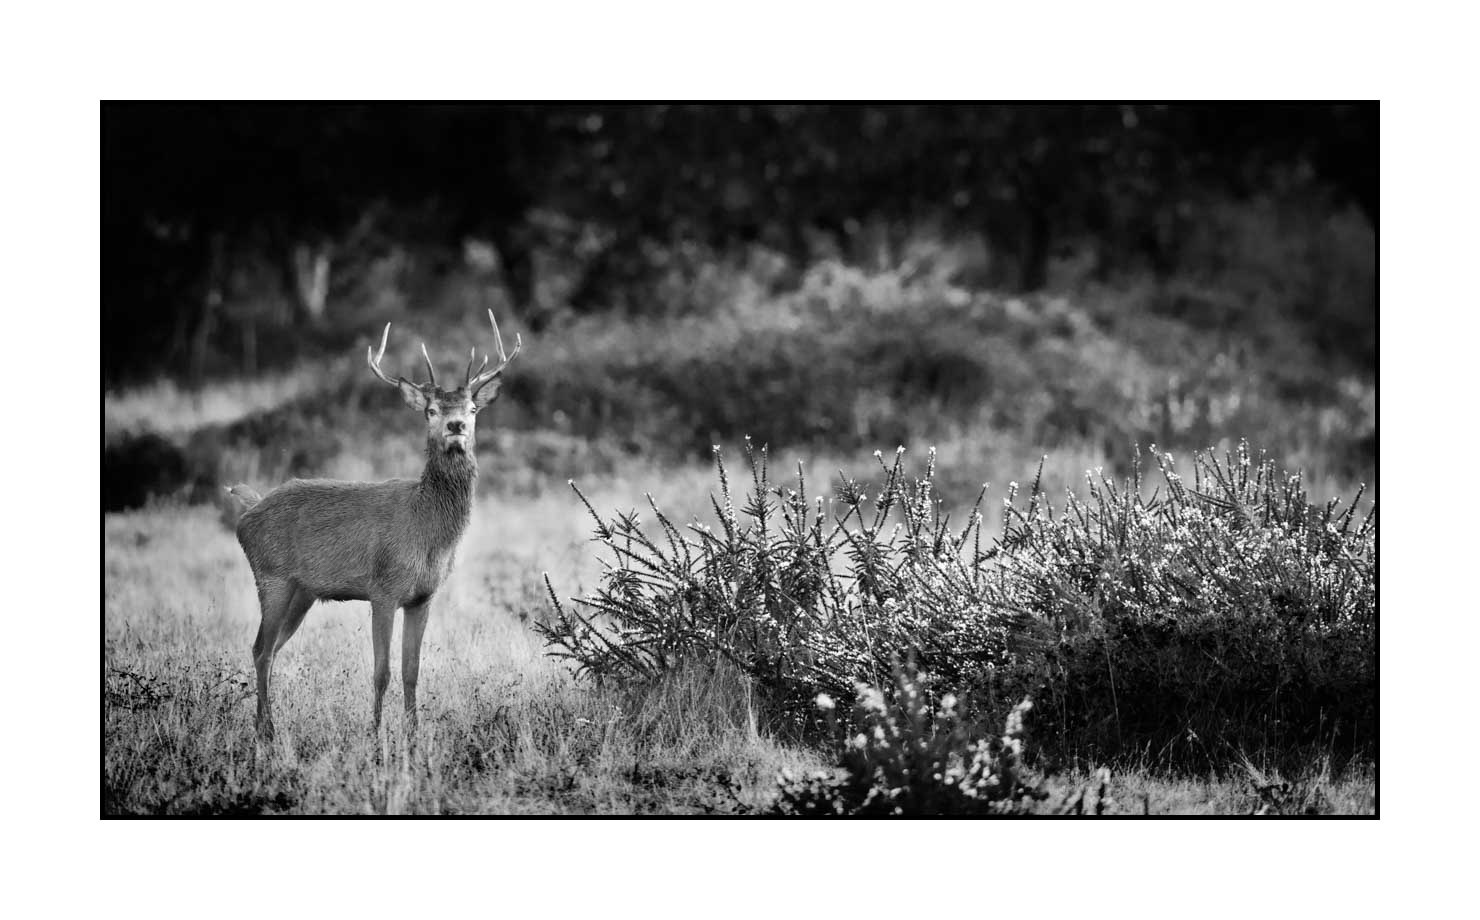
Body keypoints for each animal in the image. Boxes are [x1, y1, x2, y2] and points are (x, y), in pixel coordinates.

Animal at [229, 310, 521, 740]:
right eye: (430, 410)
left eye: (471, 408)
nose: (455, 426)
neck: (427, 532)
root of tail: (247, 511)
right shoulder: (383, 589)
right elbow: (382, 672)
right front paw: (377, 735)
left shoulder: (423, 597)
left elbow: (411, 671)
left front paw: (414, 736)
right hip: (271, 577)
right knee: (260, 649)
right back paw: (268, 730)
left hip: (301, 591)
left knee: (270, 649)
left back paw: (262, 725)